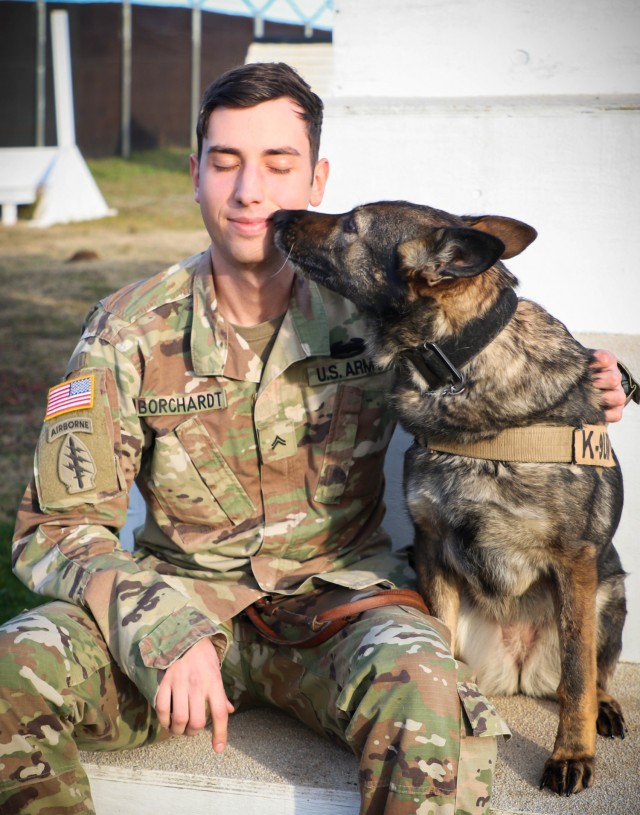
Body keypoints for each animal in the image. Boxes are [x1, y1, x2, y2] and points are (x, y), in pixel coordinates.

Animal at [272, 202, 628, 796]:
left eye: (351, 223)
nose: (277, 215)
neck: (458, 366)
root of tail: (520, 669)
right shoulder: (432, 549)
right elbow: (438, 641)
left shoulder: (575, 563)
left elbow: (578, 677)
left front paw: (572, 755)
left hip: (610, 592)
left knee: (586, 674)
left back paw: (604, 708)